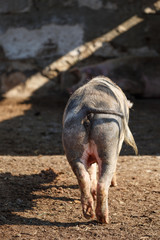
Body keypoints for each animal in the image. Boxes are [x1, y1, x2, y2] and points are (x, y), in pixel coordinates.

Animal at [62, 76, 138, 223]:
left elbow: (92, 170)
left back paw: (88, 213)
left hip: (73, 141)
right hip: (109, 140)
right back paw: (104, 219)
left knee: (83, 176)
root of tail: (89, 107)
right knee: (103, 182)